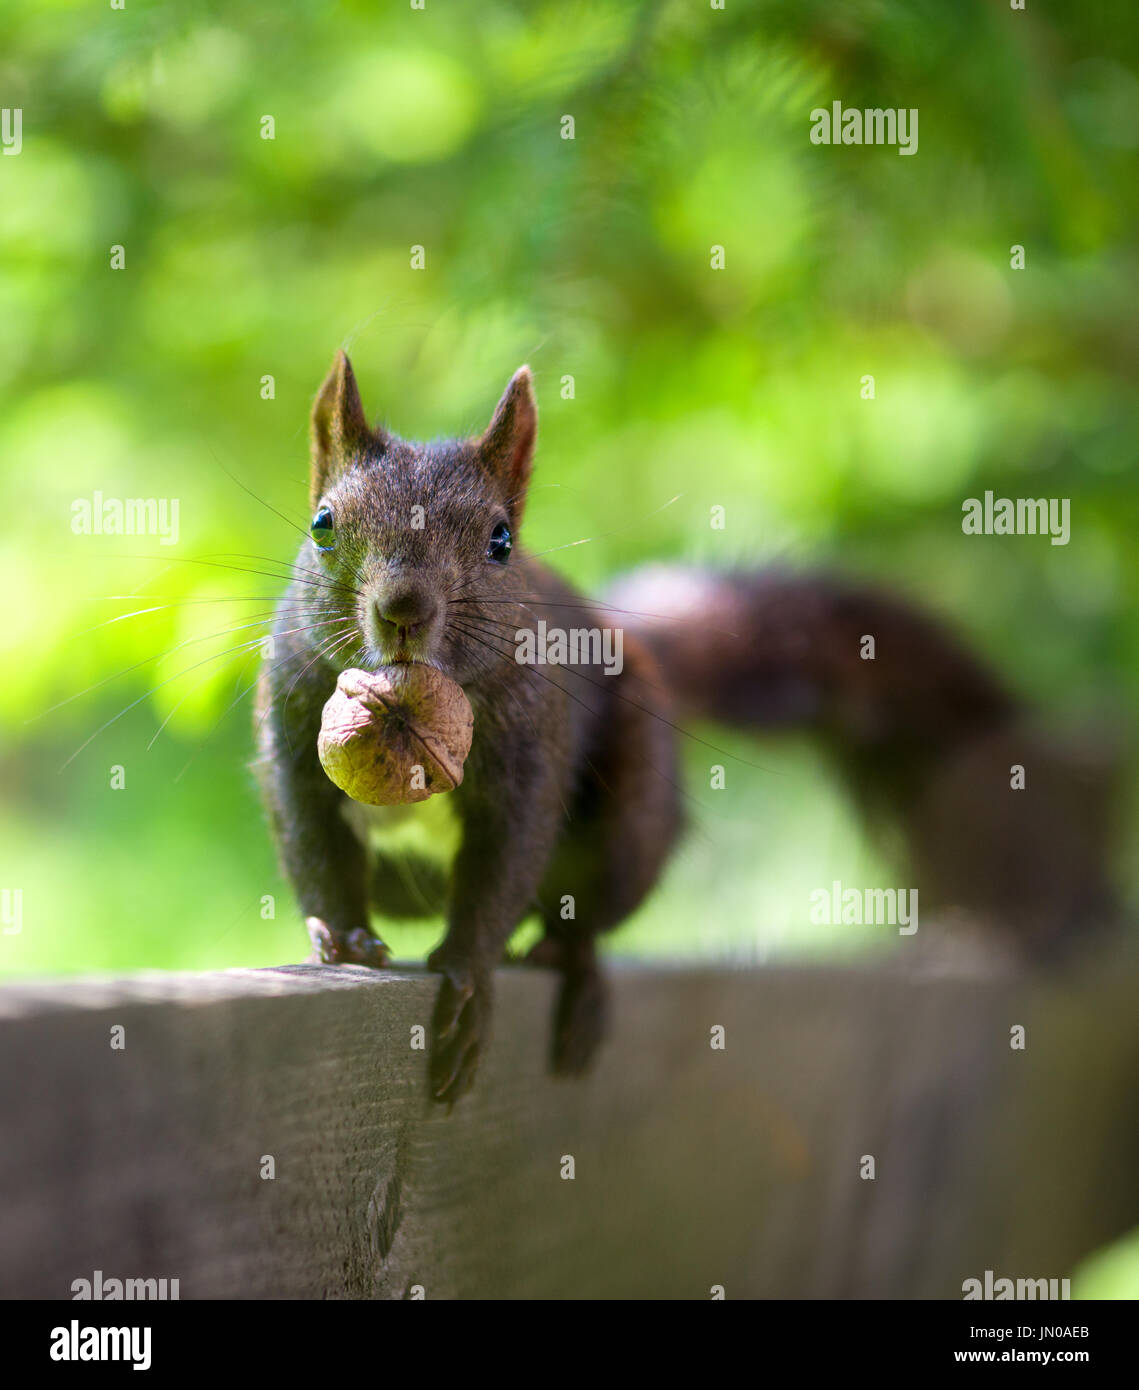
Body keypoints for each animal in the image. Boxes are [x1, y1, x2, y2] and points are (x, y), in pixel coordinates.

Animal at [258, 353, 1123, 1100]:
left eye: (500, 541)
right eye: (323, 523)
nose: (403, 610)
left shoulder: (532, 751)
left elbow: (504, 861)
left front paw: (468, 975)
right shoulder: (294, 732)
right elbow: (314, 842)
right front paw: (342, 937)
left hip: (633, 813)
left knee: (588, 908)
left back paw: (573, 964)